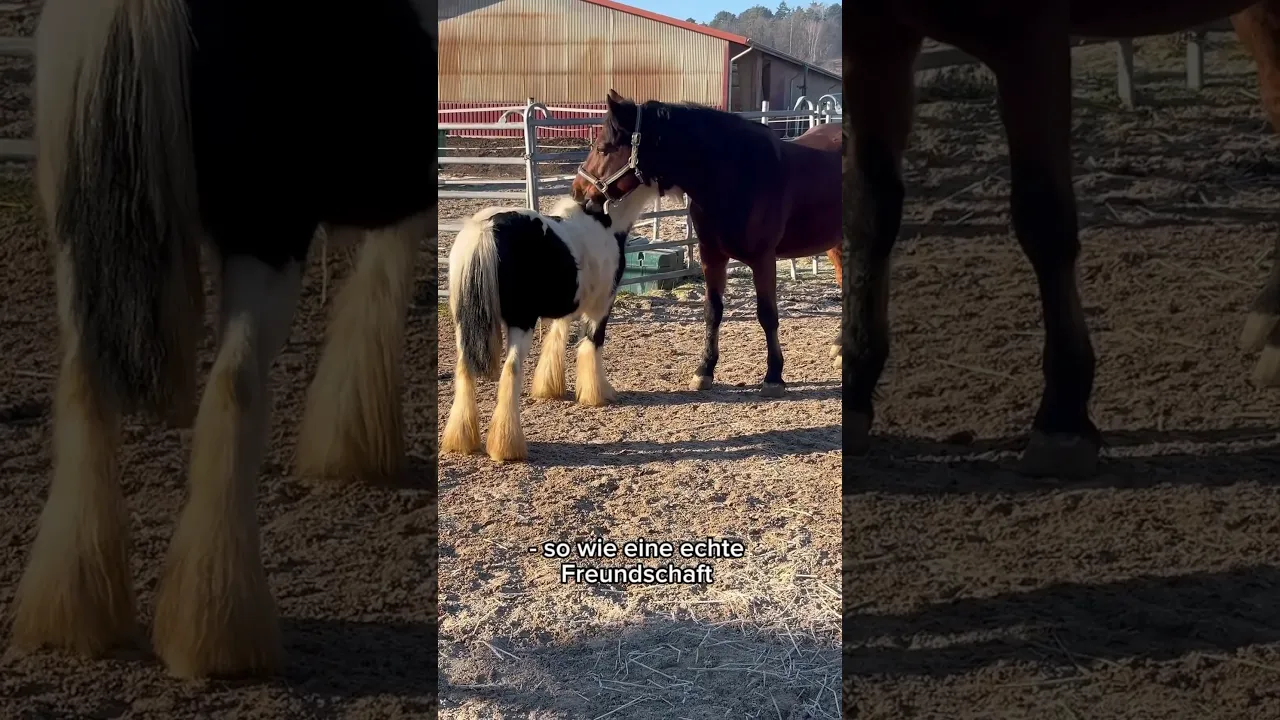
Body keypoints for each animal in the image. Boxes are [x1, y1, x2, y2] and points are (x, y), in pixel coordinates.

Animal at [11, 0, 435, 679]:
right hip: (267, 236)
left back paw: (73, 614)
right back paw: (216, 634)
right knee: (234, 390)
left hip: (75, 248)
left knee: (82, 390)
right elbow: (384, 286)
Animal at [441, 187, 659, 463]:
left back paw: (461, 441)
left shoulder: (565, 309)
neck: (606, 222)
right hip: (521, 322)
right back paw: (507, 447)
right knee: (510, 370)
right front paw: (597, 394)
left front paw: (549, 388)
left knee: (463, 370)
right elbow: (592, 345)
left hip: (463, 326)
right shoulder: (601, 307)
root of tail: (484, 229)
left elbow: (556, 340)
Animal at [572, 90, 842, 398]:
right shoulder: (711, 257)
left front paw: (774, 376)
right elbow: (712, 312)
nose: (577, 191)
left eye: (603, 148)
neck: (735, 174)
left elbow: (767, 314)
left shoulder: (763, 259)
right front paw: (704, 370)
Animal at [847, 1, 1280, 479]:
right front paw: (855, 389)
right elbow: (871, 213)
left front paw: (1062, 417)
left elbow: (1043, 218)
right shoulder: (873, 42)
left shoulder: (1028, 38)